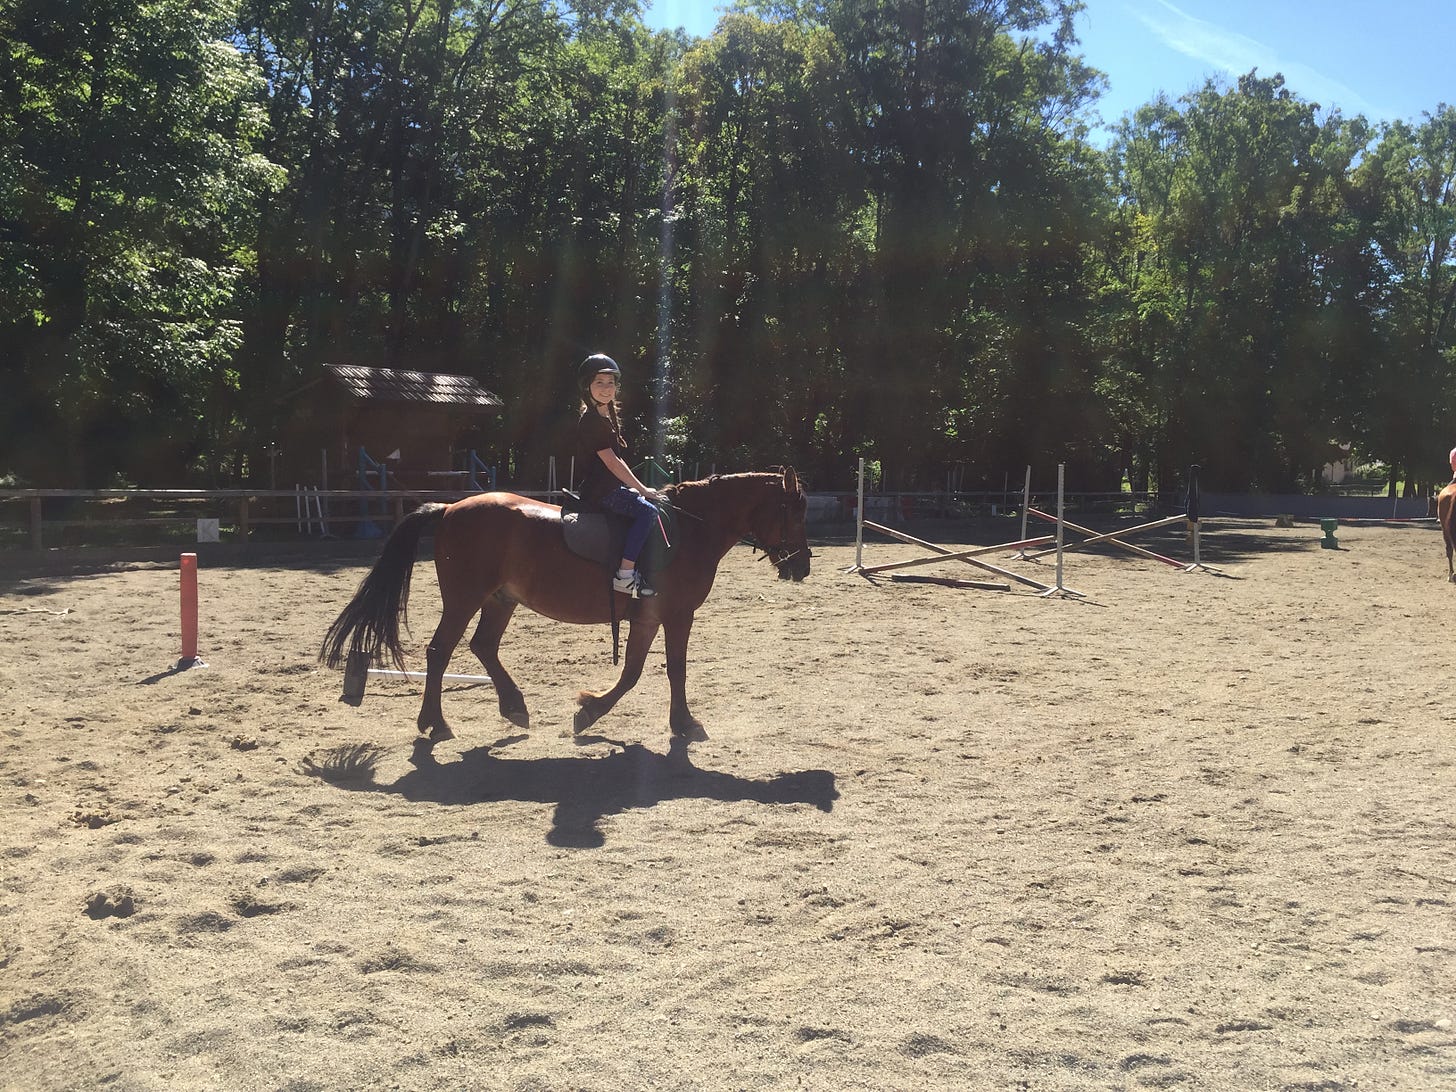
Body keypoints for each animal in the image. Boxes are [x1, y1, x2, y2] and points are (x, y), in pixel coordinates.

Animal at [320, 471, 815, 745]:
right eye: (795, 511)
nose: (803, 565)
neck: (689, 530)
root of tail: (449, 508)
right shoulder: (676, 615)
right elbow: (673, 669)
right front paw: (683, 723)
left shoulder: (648, 617)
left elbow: (633, 671)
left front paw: (589, 711)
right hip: (464, 599)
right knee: (440, 652)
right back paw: (435, 723)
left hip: (500, 600)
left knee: (483, 647)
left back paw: (513, 706)